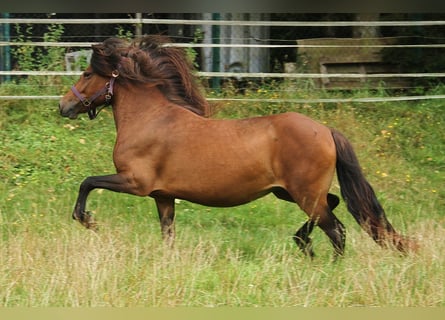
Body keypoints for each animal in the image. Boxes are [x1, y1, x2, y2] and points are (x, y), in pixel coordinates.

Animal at [58, 35, 412, 258]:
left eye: (87, 73)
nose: (64, 106)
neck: (151, 119)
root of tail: (325, 130)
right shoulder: (163, 196)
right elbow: (167, 234)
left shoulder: (135, 182)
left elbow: (87, 182)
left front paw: (87, 219)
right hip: (291, 192)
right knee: (333, 207)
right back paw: (303, 244)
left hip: (304, 194)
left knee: (337, 230)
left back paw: (323, 262)